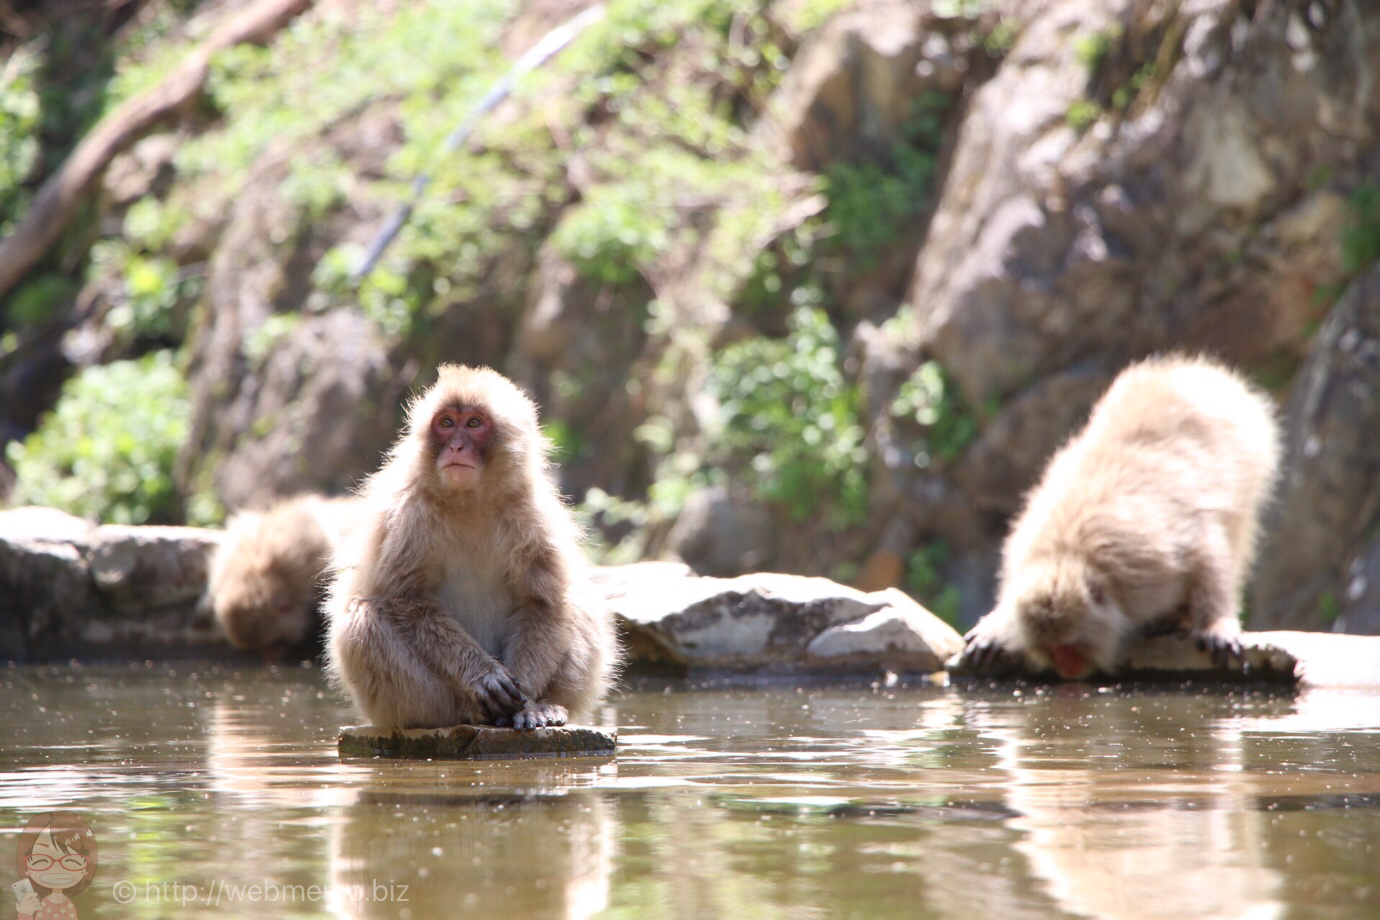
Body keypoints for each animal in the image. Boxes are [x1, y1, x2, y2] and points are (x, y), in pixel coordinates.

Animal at [324, 364, 618, 731]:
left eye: (474, 424)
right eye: (447, 423)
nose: (457, 447)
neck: (470, 501)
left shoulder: (533, 515)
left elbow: (542, 601)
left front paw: (528, 704)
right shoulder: (407, 514)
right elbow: (405, 599)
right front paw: (484, 678)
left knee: (577, 599)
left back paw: (550, 705)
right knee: (363, 618)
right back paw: (464, 713)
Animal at [962, 354, 1279, 679]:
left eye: (1069, 646)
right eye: (1050, 649)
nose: (1065, 668)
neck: (1069, 553)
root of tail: (1189, 370)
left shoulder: (1153, 561)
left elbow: (1206, 554)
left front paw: (1216, 623)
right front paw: (998, 626)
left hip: (1251, 460)